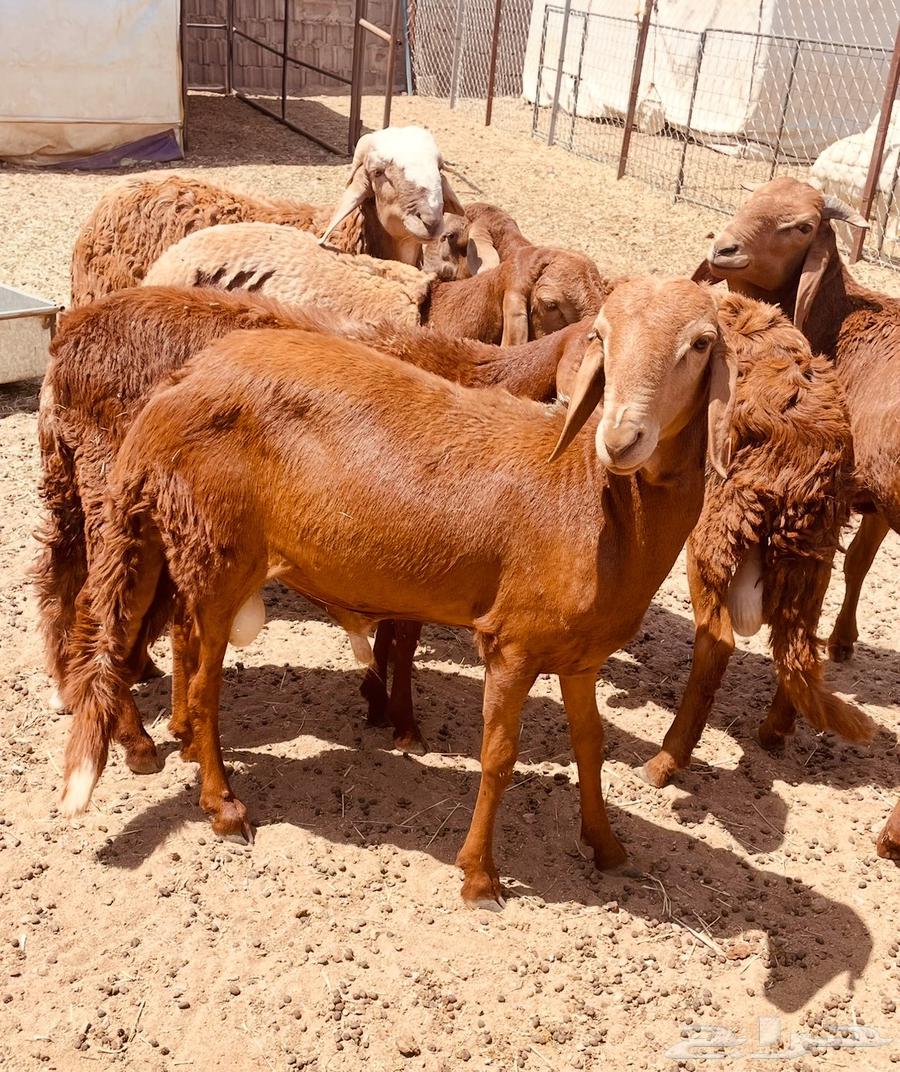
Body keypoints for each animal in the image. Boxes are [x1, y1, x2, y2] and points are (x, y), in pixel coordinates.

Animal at [35, 285, 594, 738]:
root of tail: (66, 344)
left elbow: (393, 631)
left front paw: (378, 702)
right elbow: (405, 636)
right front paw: (402, 721)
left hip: (79, 486)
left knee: (64, 586)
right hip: (109, 482)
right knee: (100, 605)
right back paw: (133, 736)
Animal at [693, 176, 900, 671]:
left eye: (803, 226)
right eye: (751, 199)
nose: (724, 248)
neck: (841, 326)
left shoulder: (853, 488)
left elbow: (851, 562)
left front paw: (838, 639)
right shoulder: (876, 498)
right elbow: (859, 561)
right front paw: (843, 639)